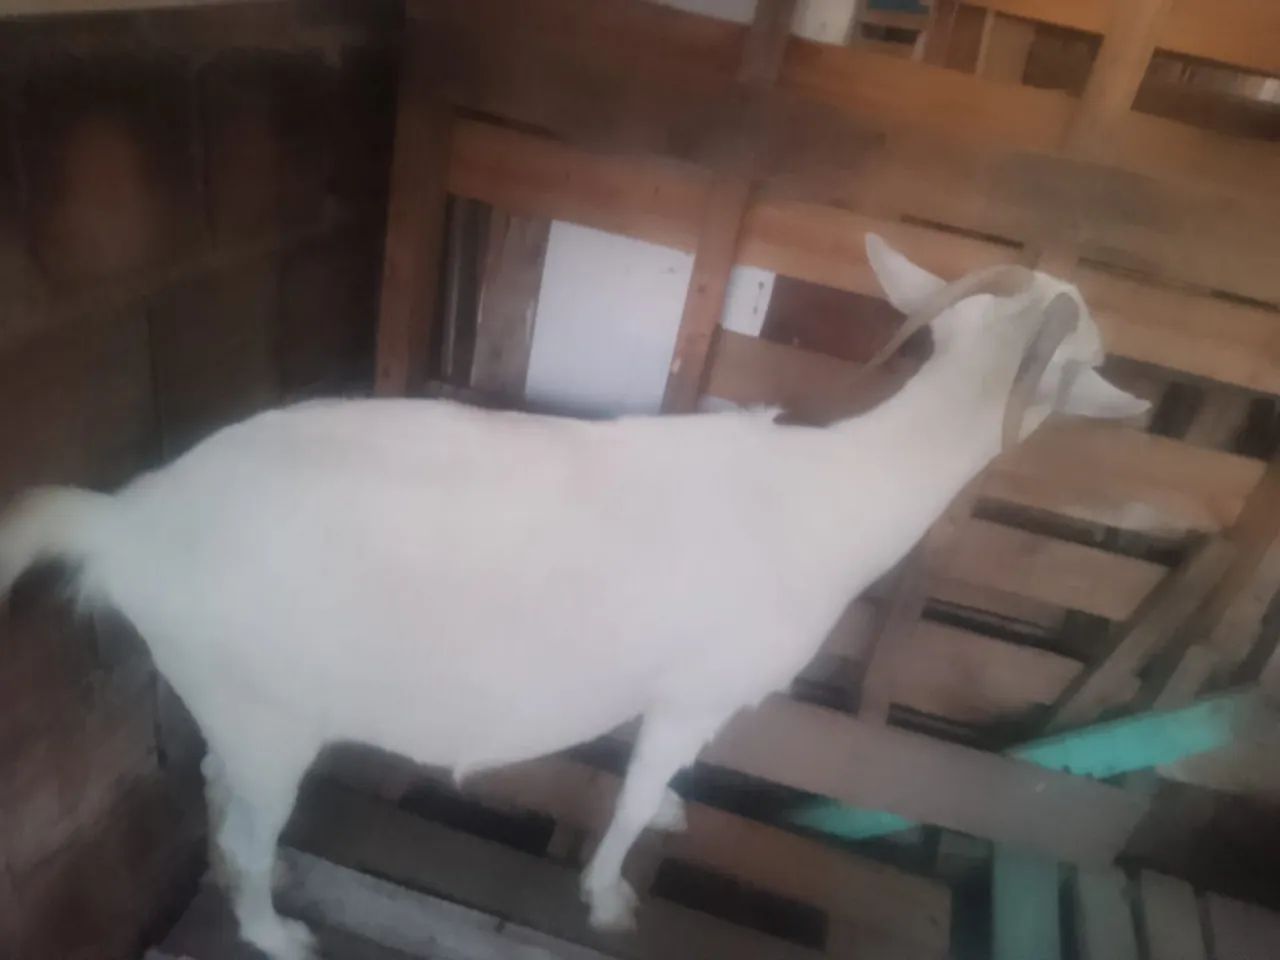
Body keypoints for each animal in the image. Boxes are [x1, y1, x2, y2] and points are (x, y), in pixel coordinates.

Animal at [0, 235, 1148, 959]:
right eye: (1089, 356)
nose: (1135, 402)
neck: (833, 493)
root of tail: (127, 521)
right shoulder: (693, 690)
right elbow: (634, 797)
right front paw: (608, 900)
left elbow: (659, 782)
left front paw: (673, 813)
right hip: (269, 713)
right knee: (248, 832)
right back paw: (278, 936)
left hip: (230, 705)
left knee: (214, 789)